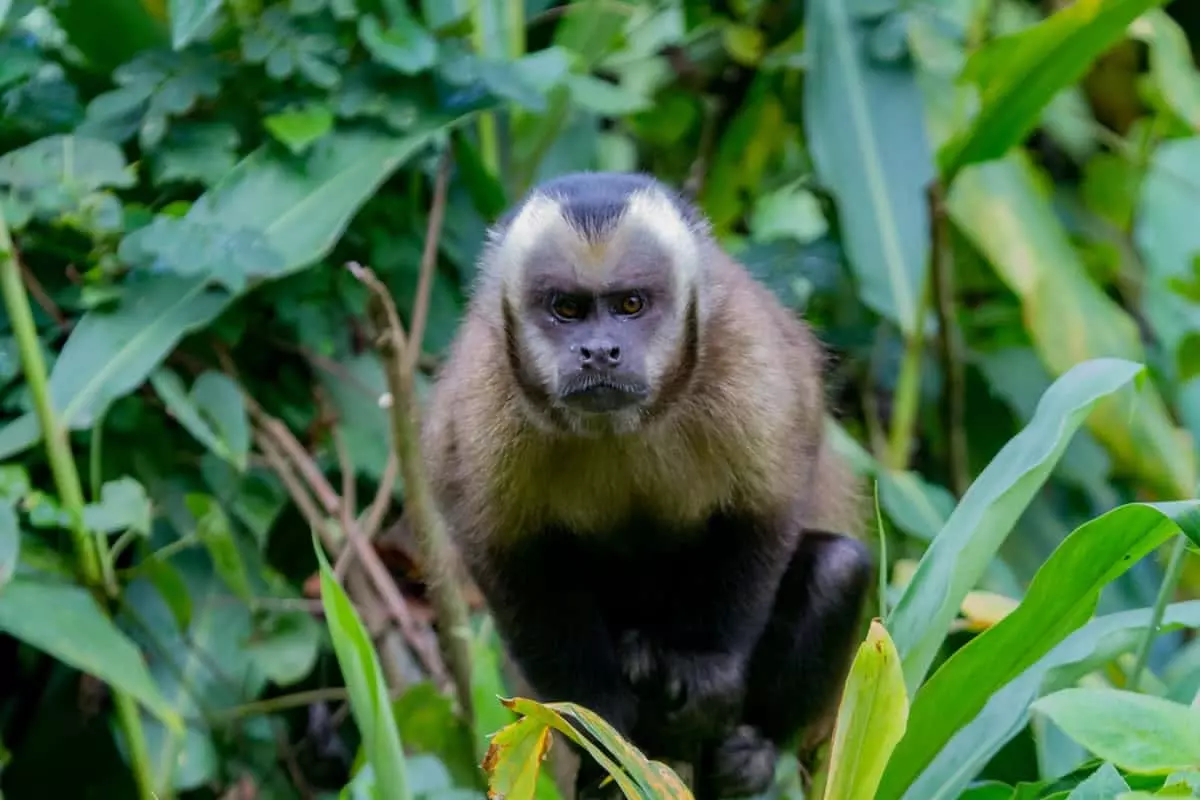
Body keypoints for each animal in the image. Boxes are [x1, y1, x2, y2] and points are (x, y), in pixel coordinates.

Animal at [422, 172, 873, 796]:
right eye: (567, 308)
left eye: (629, 304)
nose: (599, 351)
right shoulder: (482, 397)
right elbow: (502, 553)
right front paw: (597, 713)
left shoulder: (750, 360)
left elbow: (770, 502)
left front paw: (705, 664)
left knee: (839, 569)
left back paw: (754, 746)